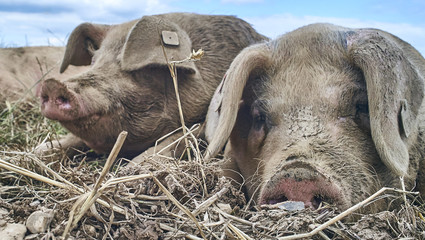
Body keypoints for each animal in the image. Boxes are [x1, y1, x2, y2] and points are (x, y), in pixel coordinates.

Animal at [38, 13, 266, 159]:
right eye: (94, 61)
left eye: (143, 71)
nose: (52, 85)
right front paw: (39, 151)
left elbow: (173, 140)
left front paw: (132, 168)